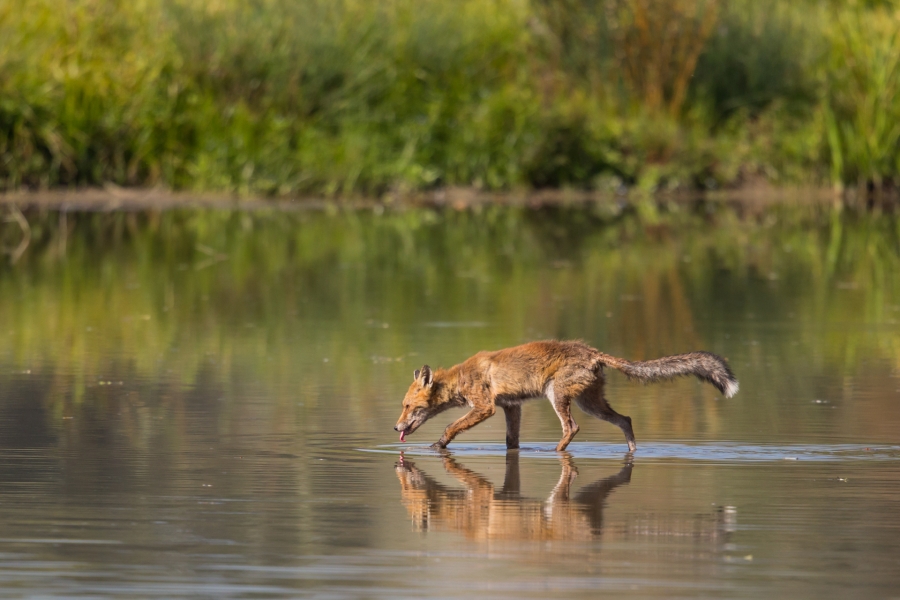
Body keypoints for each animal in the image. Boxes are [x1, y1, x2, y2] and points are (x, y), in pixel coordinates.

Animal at [394, 340, 738, 452]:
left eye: (408, 406)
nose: (395, 428)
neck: (464, 376)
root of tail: (593, 352)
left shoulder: (486, 407)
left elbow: (451, 427)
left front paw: (438, 445)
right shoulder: (511, 407)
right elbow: (511, 442)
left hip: (558, 396)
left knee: (571, 428)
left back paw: (555, 452)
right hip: (592, 404)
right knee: (625, 420)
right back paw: (632, 451)